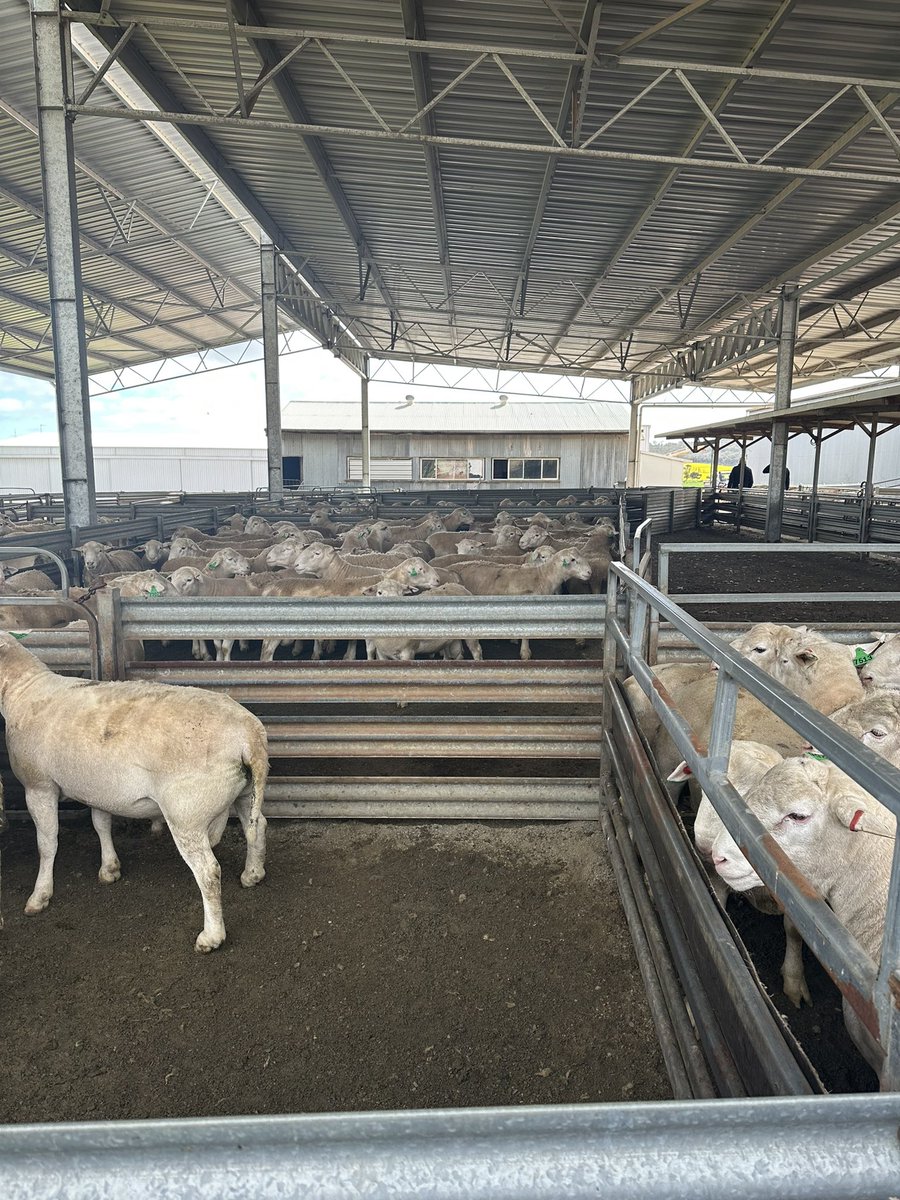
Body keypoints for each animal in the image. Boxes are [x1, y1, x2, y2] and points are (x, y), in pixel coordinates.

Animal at [0, 630, 268, 952]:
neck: (22, 689)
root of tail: (250, 738)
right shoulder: (97, 787)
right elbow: (101, 824)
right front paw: (109, 868)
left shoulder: (38, 786)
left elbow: (47, 843)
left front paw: (40, 896)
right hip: (245, 792)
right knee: (257, 826)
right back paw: (253, 874)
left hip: (185, 812)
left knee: (208, 871)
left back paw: (211, 936)